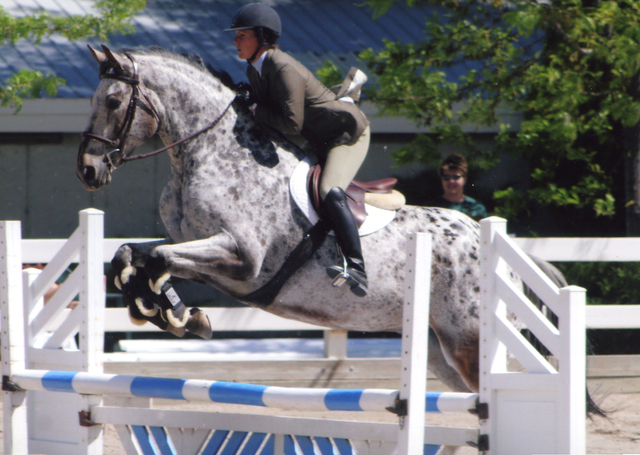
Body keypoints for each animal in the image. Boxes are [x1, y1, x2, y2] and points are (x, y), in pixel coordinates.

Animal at [76, 45, 605, 415]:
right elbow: (134, 255)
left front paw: (174, 314)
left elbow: (159, 259)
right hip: (441, 351)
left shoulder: (240, 259)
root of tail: (499, 245)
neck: (205, 155)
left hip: (472, 341)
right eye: (94, 100)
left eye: (115, 100)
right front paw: (162, 309)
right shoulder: (200, 249)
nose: (88, 170)